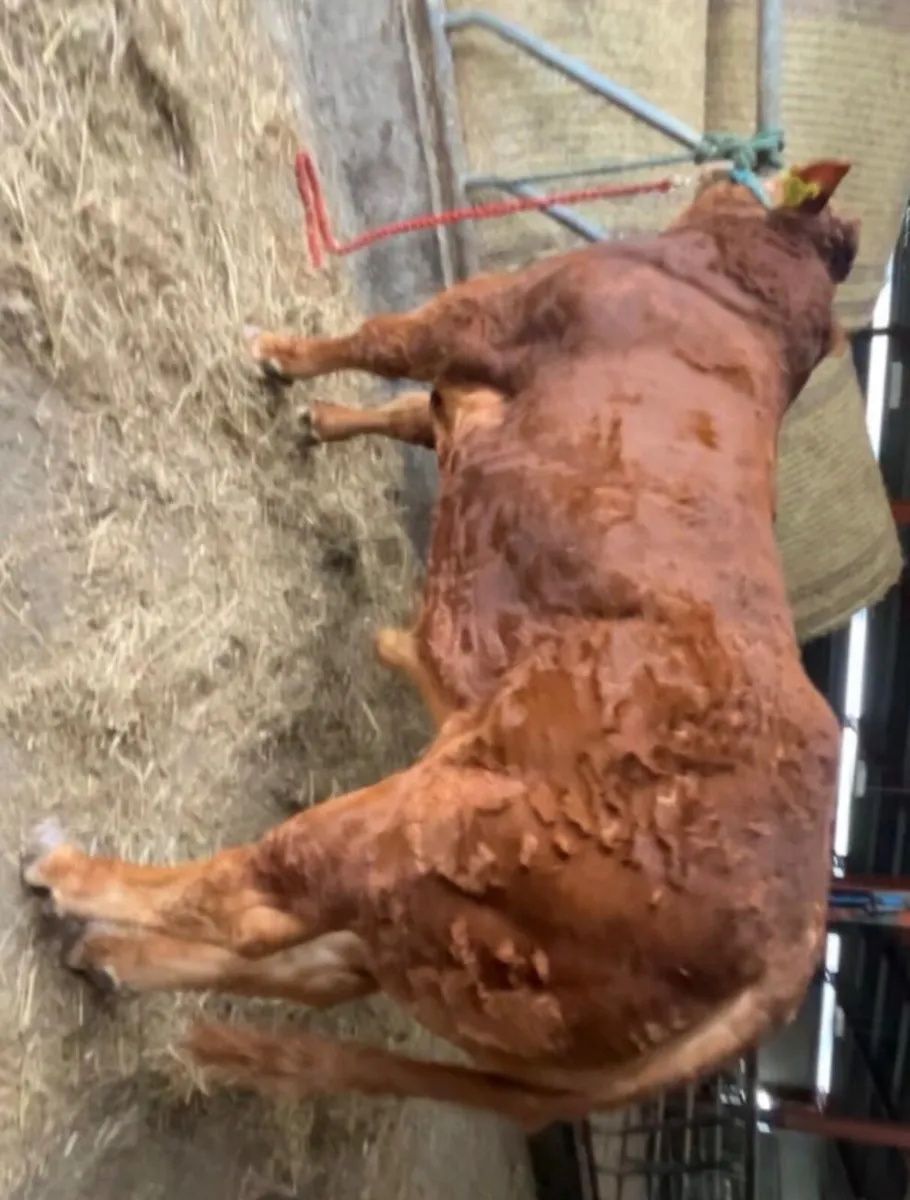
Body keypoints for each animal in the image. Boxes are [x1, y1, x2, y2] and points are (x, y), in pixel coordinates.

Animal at [21, 159, 856, 1130]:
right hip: (452, 947)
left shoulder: (481, 317)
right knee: (316, 964)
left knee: (255, 902)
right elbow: (407, 411)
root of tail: (788, 956)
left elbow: (382, 341)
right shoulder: (469, 386)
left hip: (420, 837)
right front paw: (322, 419)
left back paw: (67, 876)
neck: (731, 292)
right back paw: (113, 958)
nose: (726, 160)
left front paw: (275, 353)